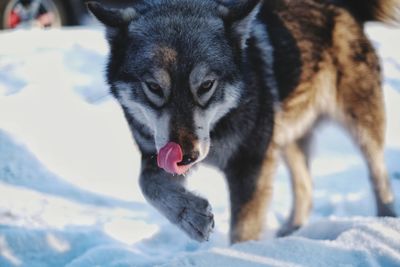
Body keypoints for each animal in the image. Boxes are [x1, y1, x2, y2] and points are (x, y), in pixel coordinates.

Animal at [87, 0, 396, 244]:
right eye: (154, 87)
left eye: (206, 85)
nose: (186, 157)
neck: (219, 127)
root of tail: (343, 6)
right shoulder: (155, 152)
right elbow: (147, 184)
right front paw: (191, 216)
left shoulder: (252, 165)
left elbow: (242, 229)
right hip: (286, 139)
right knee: (305, 188)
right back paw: (290, 234)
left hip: (361, 127)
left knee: (379, 176)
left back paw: (384, 222)